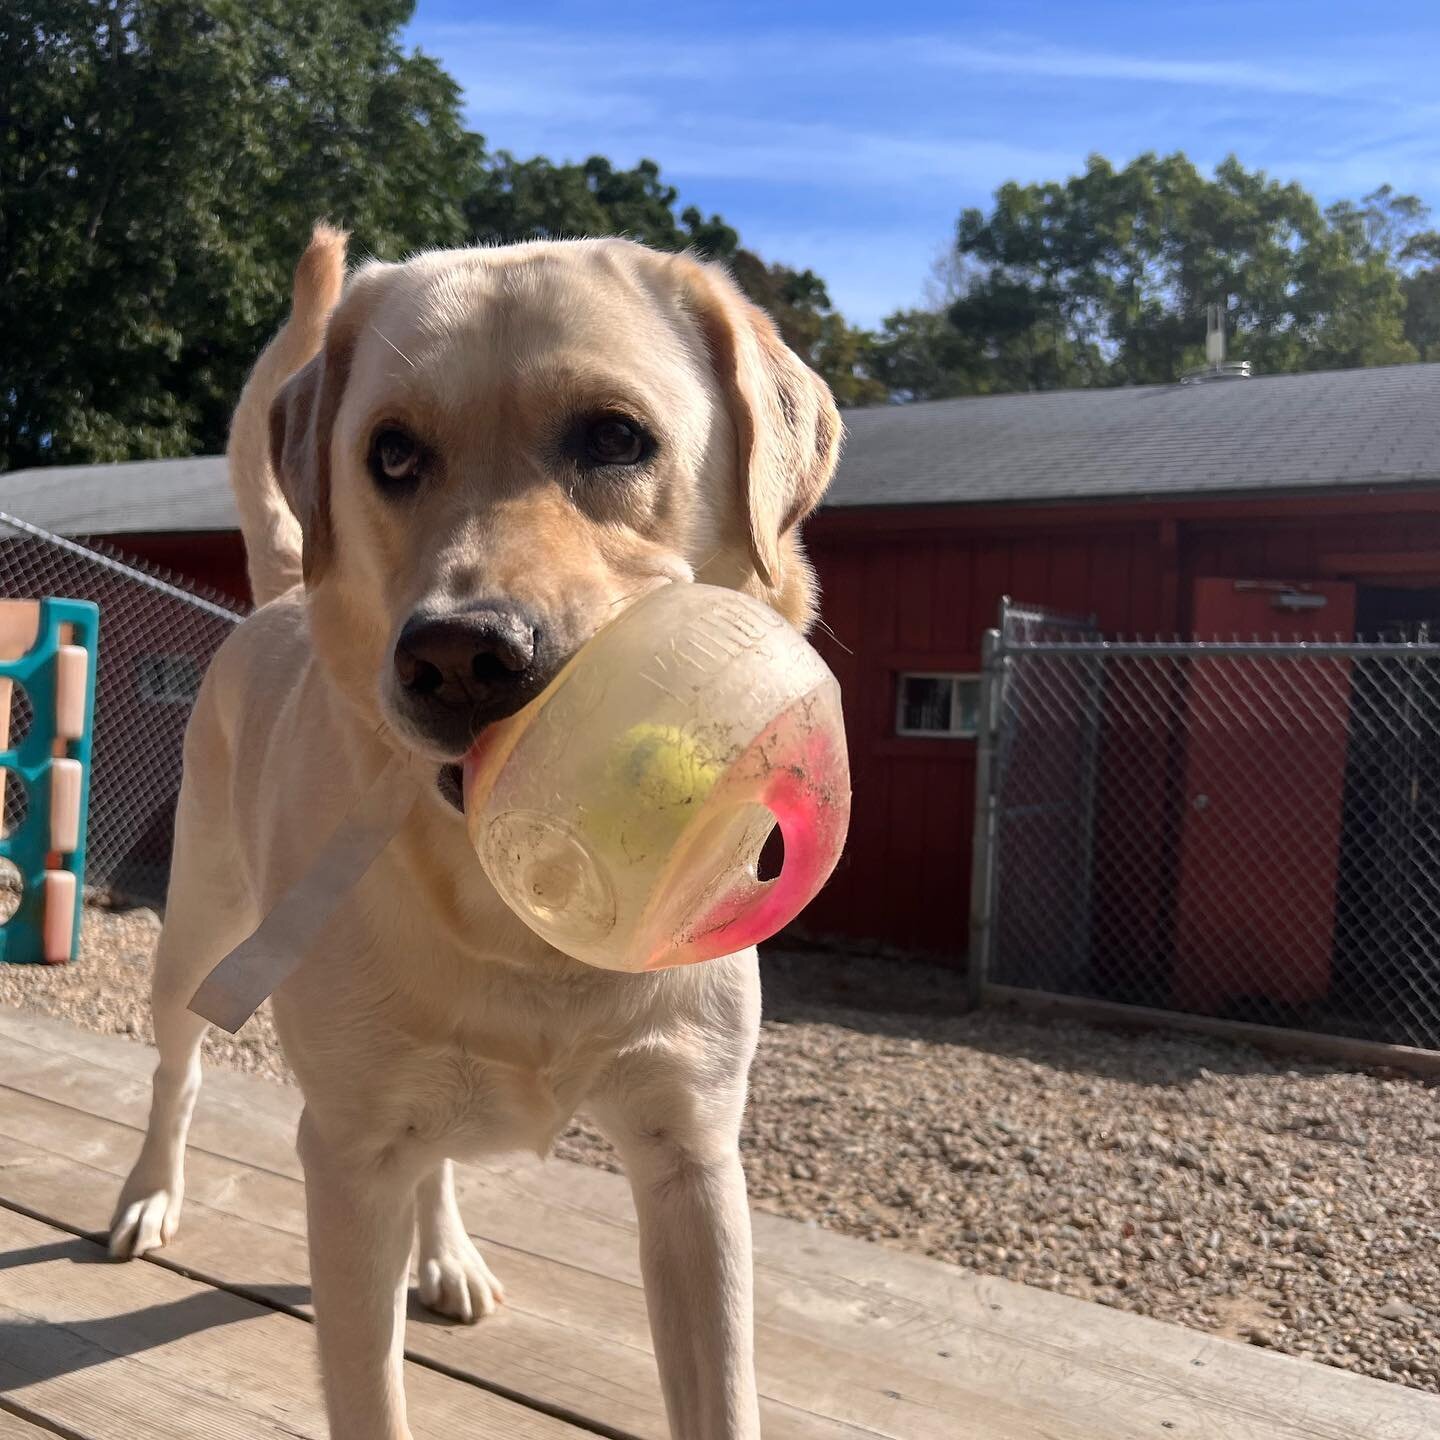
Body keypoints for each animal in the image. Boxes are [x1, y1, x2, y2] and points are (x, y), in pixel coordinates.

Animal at [109, 227, 840, 1440]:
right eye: (392, 454)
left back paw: (444, 1256)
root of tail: (273, 596)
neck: (515, 901)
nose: (457, 656)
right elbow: (368, 1394)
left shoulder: (690, 1155)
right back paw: (148, 1196)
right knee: (178, 1073)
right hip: (200, 936)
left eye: (615, 437)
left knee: (440, 1156)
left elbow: (723, 1395)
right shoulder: (348, 1161)